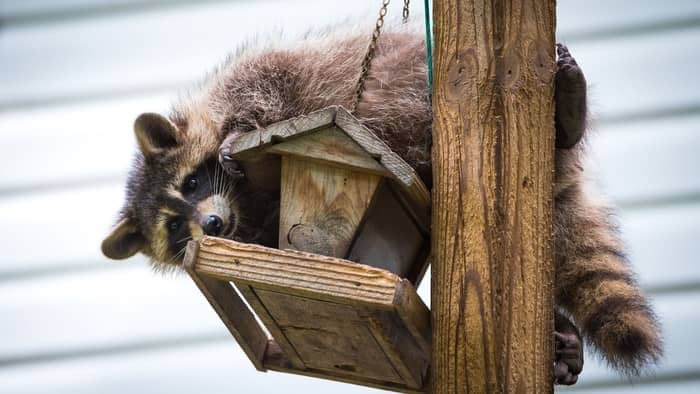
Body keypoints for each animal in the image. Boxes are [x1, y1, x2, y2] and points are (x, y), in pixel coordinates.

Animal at [101, 25, 660, 384]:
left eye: (192, 183)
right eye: (175, 228)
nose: (213, 223)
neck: (244, 199)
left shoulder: (255, 81)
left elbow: (265, 80)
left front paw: (242, 127)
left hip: (414, 79)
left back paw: (567, 115)